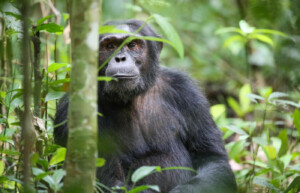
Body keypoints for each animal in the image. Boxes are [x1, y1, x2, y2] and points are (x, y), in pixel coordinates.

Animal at [53, 20, 237, 193]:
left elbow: (212, 158)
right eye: (110, 46)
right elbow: (108, 181)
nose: (120, 58)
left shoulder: (187, 93)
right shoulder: (69, 112)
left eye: (132, 45)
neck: (133, 96)